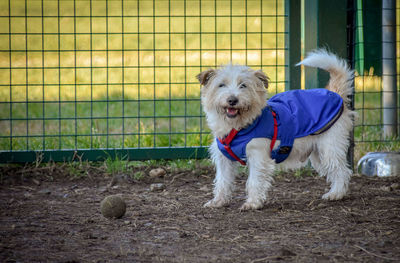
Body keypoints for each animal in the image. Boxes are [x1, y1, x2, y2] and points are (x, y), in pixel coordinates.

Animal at [198, 49, 354, 211]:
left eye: (243, 85)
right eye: (221, 85)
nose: (232, 100)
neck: (238, 127)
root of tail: (335, 93)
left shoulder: (258, 157)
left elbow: (254, 181)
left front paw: (253, 203)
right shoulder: (224, 160)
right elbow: (222, 181)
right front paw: (219, 201)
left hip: (330, 149)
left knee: (343, 171)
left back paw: (336, 194)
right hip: (318, 154)